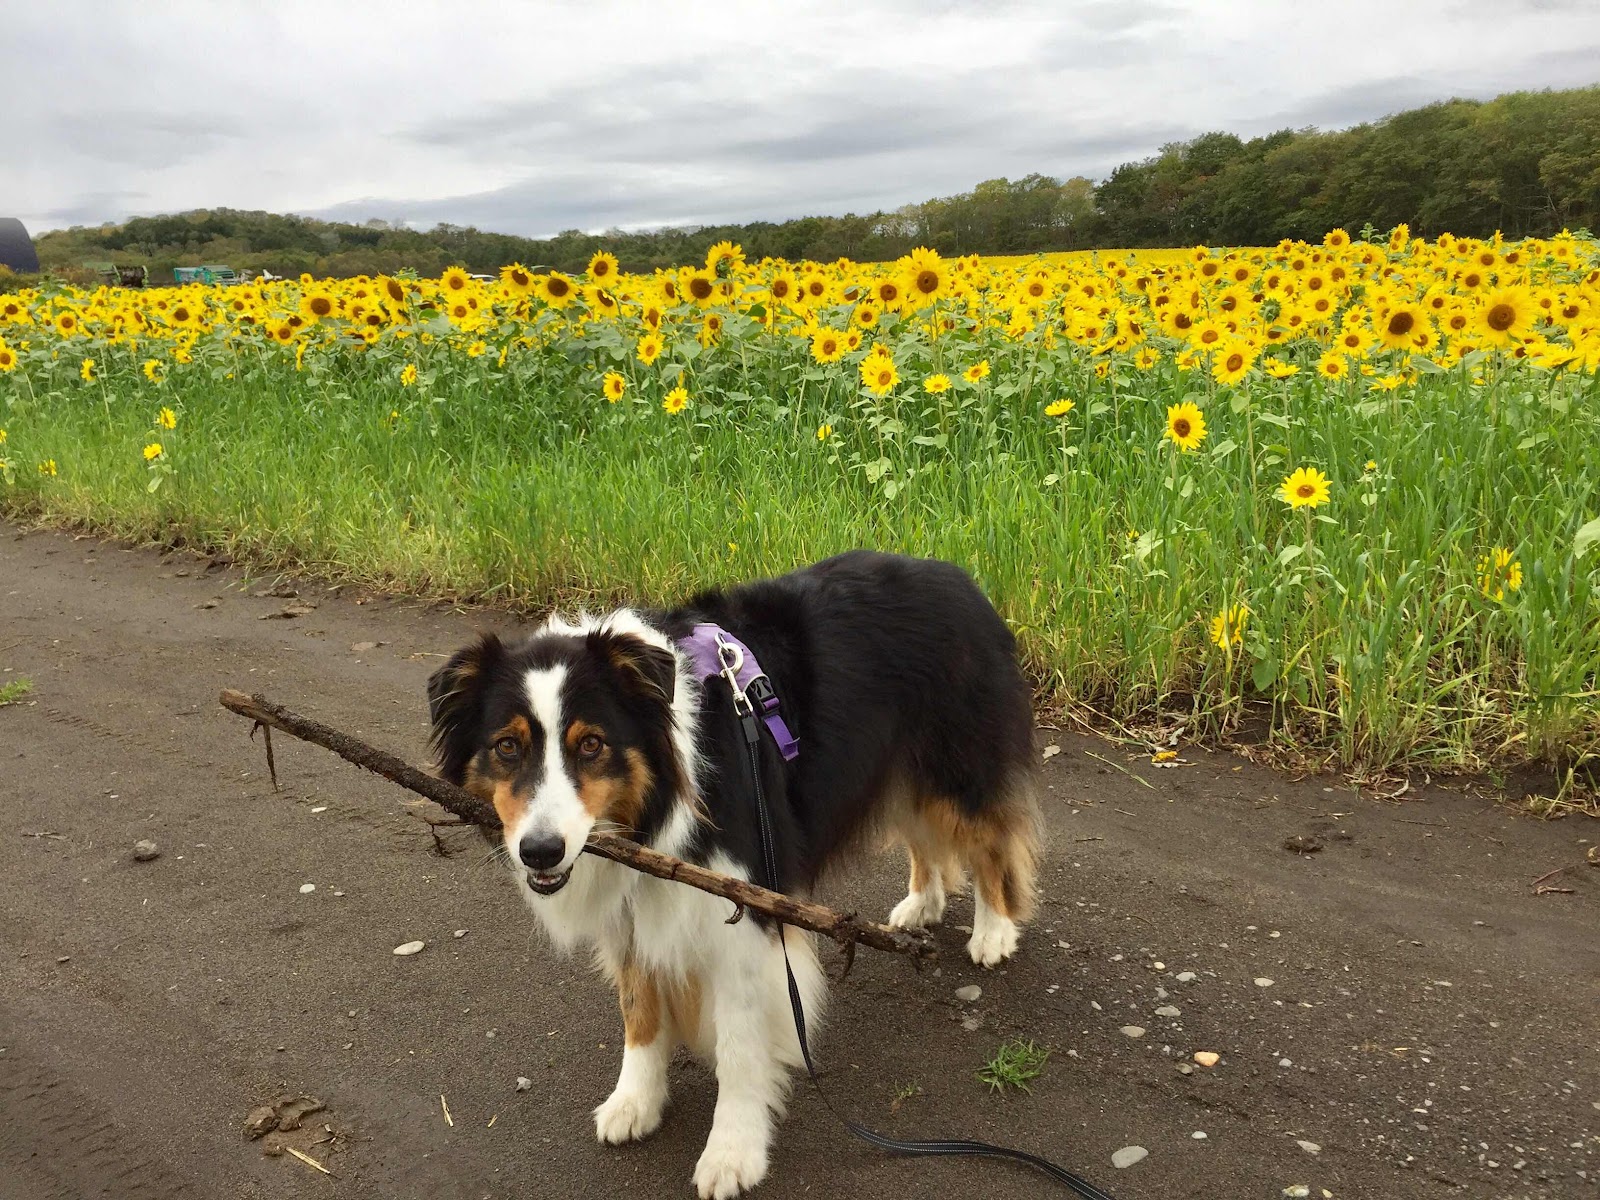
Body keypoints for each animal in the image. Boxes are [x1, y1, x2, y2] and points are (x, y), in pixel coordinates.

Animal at [427, 550, 1040, 1198]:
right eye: (507, 747)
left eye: (591, 744)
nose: (540, 852)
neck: (662, 796)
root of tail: (956, 574)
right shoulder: (633, 907)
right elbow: (638, 1009)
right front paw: (634, 1101)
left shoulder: (745, 915)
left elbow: (742, 1048)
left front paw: (732, 1151)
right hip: (895, 764)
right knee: (921, 832)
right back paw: (922, 901)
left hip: (954, 765)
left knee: (989, 840)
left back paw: (994, 930)